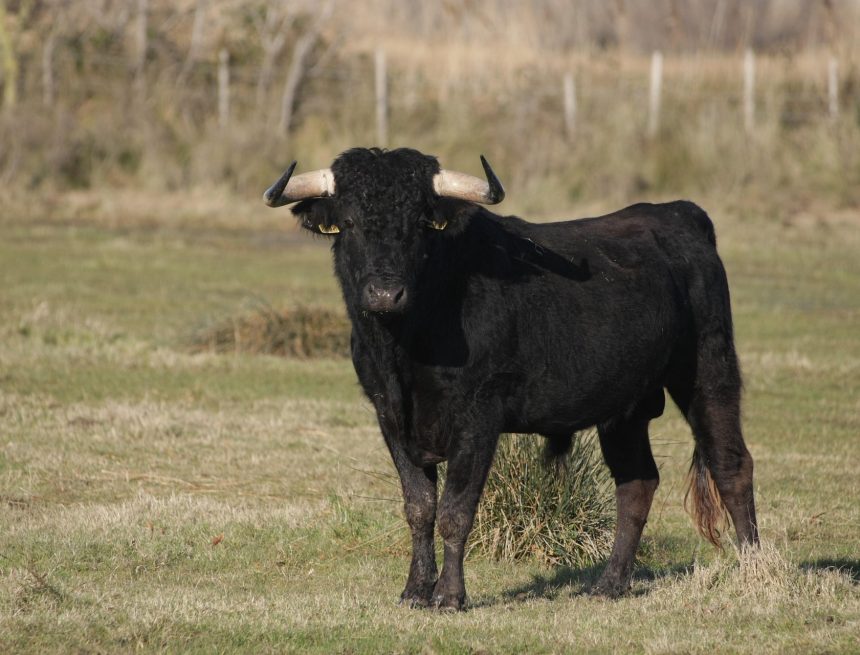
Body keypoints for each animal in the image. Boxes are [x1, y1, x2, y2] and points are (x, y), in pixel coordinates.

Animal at [263, 147, 759, 609]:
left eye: (420, 224)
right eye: (349, 222)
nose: (385, 294)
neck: (405, 345)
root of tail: (679, 213)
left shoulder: (479, 415)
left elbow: (456, 510)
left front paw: (449, 596)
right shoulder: (390, 415)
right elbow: (419, 507)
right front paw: (415, 591)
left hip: (708, 371)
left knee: (731, 465)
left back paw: (753, 571)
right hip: (627, 408)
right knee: (636, 482)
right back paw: (610, 584)